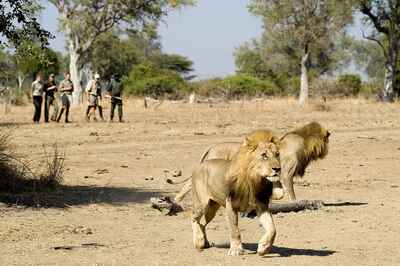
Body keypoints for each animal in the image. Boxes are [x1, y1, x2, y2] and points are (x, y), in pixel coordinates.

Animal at [173, 122, 330, 202]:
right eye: (327, 140)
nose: (326, 152)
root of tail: (212, 146)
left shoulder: (276, 173)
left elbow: (279, 191)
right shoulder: (286, 173)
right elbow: (290, 192)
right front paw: (295, 203)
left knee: (188, 184)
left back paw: (176, 200)